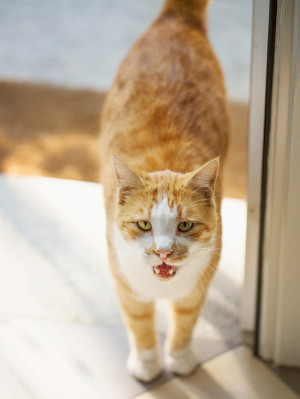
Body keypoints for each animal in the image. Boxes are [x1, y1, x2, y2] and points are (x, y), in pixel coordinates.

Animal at [99, 0, 229, 382]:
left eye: (185, 225)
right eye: (144, 224)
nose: (163, 252)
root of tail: (175, 20)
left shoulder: (199, 283)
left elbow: (185, 321)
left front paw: (180, 358)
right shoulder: (126, 284)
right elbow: (140, 323)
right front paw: (146, 363)